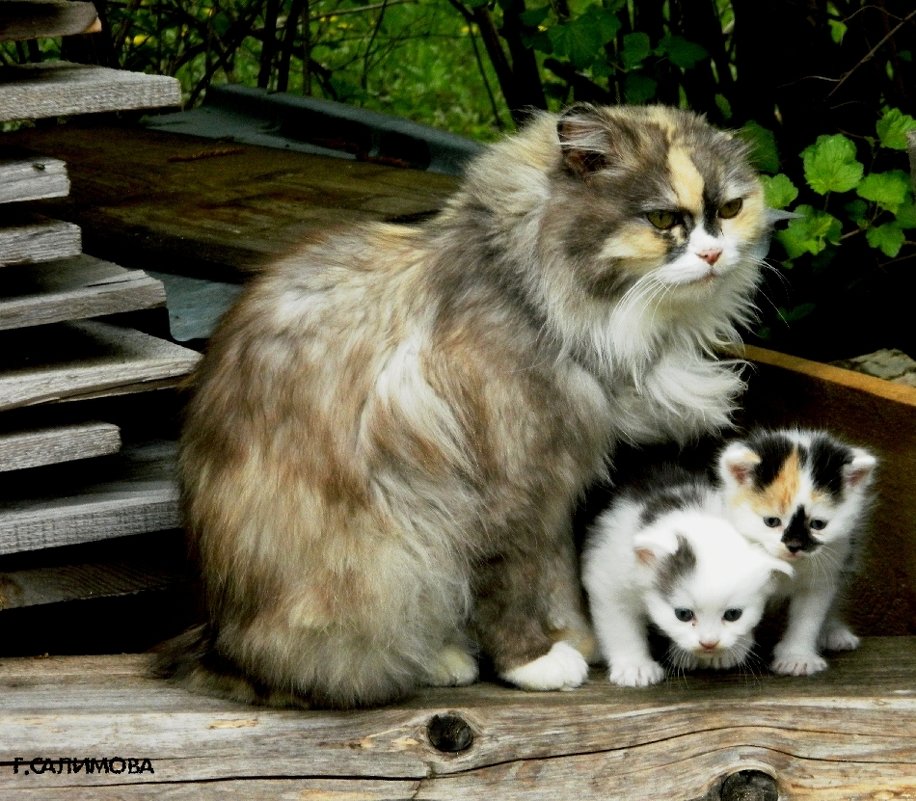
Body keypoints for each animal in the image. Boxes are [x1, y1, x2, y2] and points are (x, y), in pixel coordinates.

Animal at [584, 468, 792, 688]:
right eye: (683, 614)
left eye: (733, 615)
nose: (709, 643)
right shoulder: (610, 573)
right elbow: (619, 625)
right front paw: (635, 667)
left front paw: (733, 649)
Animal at [720, 428, 876, 672]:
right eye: (772, 522)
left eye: (818, 524)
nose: (793, 546)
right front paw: (729, 649)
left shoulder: (826, 570)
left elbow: (808, 616)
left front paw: (797, 657)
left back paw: (833, 632)